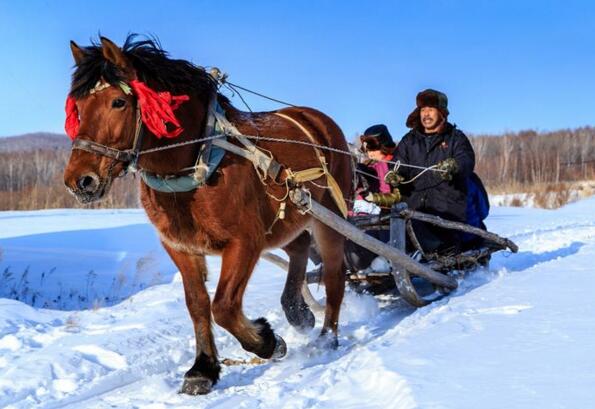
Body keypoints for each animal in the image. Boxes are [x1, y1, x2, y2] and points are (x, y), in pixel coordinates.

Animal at [64, 35, 354, 396]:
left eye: (118, 102)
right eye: (77, 107)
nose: (79, 180)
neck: (198, 163)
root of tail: (317, 120)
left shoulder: (245, 242)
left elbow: (224, 306)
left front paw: (267, 341)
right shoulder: (180, 246)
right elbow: (198, 304)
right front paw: (202, 368)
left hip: (330, 217)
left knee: (334, 275)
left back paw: (327, 338)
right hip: (289, 217)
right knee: (299, 249)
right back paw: (297, 311)